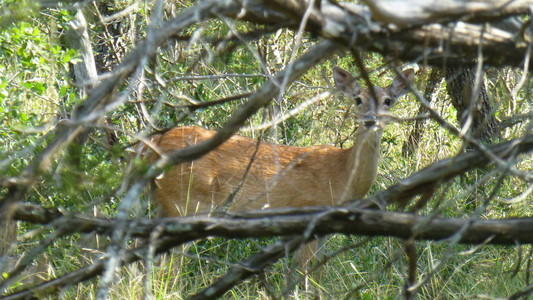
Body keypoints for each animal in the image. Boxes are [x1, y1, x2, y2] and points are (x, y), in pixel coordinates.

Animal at [148, 68, 414, 270]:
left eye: (388, 100)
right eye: (357, 98)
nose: (370, 120)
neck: (342, 173)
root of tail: (155, 143)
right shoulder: (309, 213)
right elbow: (306, 272)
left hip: (166, 204)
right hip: (185, 203)